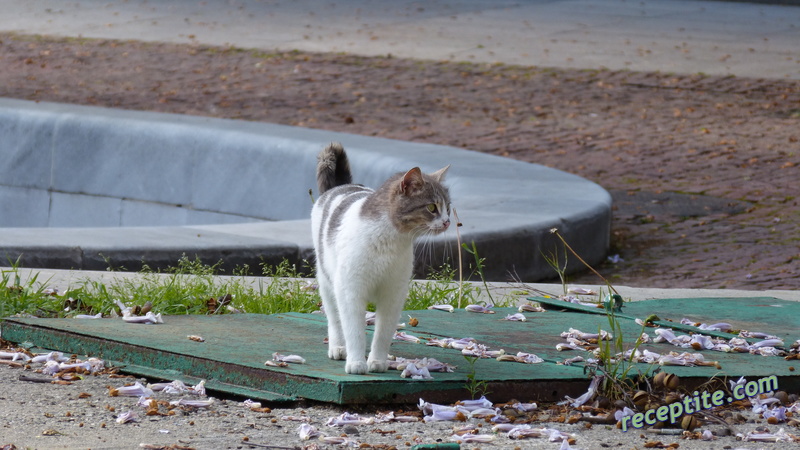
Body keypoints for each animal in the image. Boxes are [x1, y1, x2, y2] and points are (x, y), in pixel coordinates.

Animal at [310, 142, 450, 374]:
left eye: (448, 207)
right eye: (431, 207)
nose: (448, 221)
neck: (389, 242)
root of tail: (341, 186)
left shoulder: (393, 294)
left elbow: (383, 333)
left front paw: (377, 362)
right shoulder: (351, 291)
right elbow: (354, 331)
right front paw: (356, 363)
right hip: (328, 283)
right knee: (334, 319)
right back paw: (338, 348)